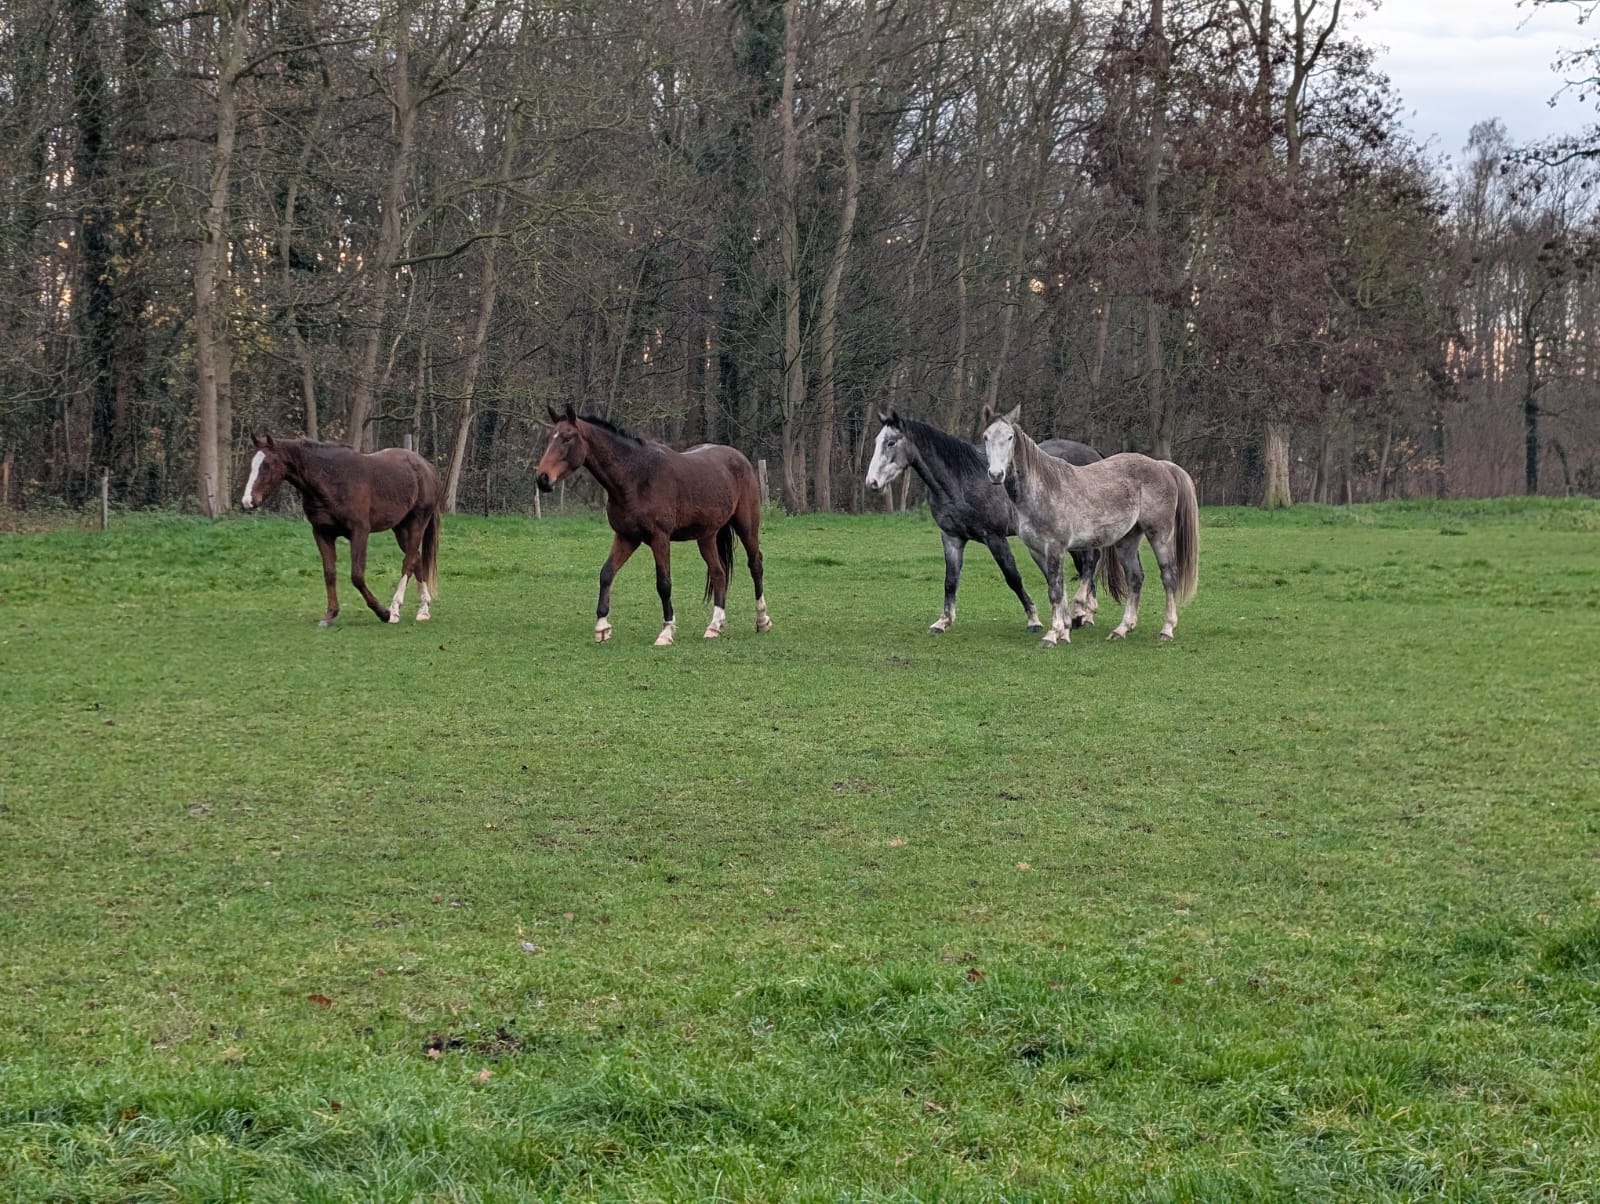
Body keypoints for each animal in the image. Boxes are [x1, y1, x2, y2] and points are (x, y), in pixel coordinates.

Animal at [240, 434, 442, 627]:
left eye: (267, 465)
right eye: (252, 464)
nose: (248, 501)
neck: (333, 479)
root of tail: (426, 467)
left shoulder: (359, 532)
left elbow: (357, 576)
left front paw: (382, 613)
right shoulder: (322, 533)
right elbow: (329, 573)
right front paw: (330, 615)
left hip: (417, 523)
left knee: (408, 563)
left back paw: (395, 609)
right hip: (400, 528)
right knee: (416, 560)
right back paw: (423, 609)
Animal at [535, 404, 769, 646]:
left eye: (567, 438)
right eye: (550, 437)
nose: (542, 479)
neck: (636, 476)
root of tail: (739, 457)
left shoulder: (660, 538)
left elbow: (663, 584)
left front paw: (666, 632)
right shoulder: (626, 537)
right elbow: (606, 573)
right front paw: (602, 627)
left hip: (747, 527)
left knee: (755, 565)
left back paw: (762, 621)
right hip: (706, 536)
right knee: (719, 573)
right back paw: (714, 626)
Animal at [864, 409, 1108, 634]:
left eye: (891, 442)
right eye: (877, 442)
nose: (872, 482)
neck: (963, 481)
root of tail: (1093, 453)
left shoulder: (995, 538)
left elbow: (1013, 577)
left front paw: (1033, 619)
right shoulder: (952, 538)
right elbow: (950, 580)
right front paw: (943, 622)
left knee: (1090, 561)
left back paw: (1083, 612)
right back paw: (1082, 614)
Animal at [980, 405, 1198, 649]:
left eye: (1009, 437)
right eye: (986, 437)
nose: (996, 474)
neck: (1043, 487)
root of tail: (1161, 465)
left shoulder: (1055, 548)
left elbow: (1055, 592)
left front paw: (1052, 635)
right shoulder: (1039, 551)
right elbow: (1058, 589)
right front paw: (1065, 631)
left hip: (1159, 533)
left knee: (1169, 576)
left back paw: (1167, 629)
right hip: (1127, 539)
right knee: (1135, 578)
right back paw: (1122, 629)